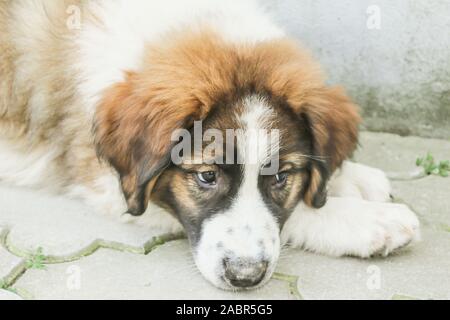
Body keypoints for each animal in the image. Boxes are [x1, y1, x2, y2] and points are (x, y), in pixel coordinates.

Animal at [1, 0, 420, 290]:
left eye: (281, 176)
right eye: (206, 176)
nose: (245, 277)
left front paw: (351, 177)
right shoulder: (107, 183)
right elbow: (299, 213)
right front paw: (369, 222)